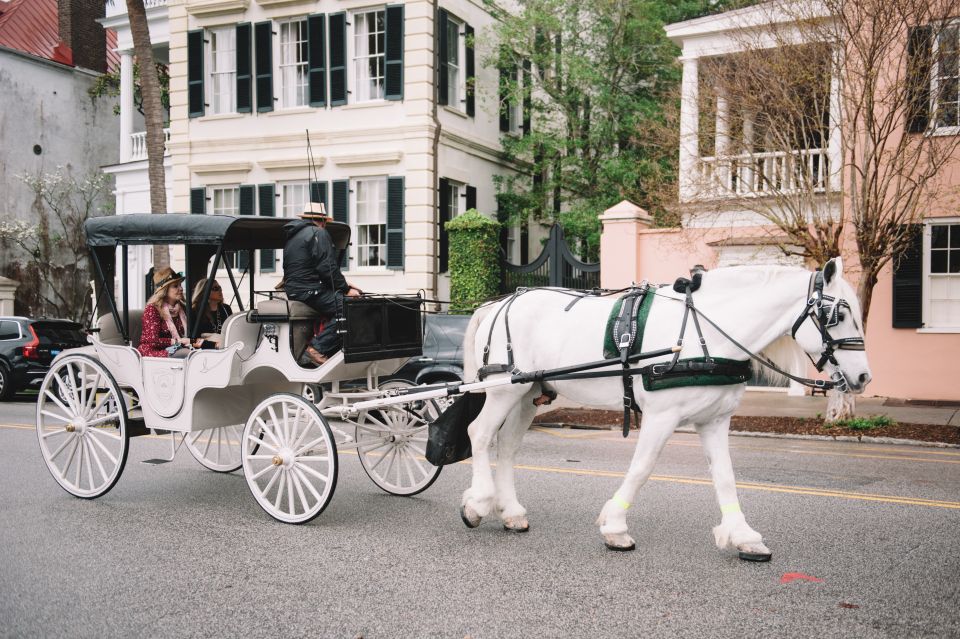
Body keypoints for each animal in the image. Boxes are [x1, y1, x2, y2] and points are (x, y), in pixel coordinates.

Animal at [462, 258, 872, 560]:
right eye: (838, 315)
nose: (864, 376)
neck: (703, 335)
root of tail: (498, 304)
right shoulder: (662, 416)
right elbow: (642, 468)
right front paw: (615, 527)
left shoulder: (714, 420)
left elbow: (726, 477)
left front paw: (743, 536)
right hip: (503, 389)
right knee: (478, 434)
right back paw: (478, 503)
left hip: (527, 392)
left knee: (508, 446)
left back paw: (512, 512)